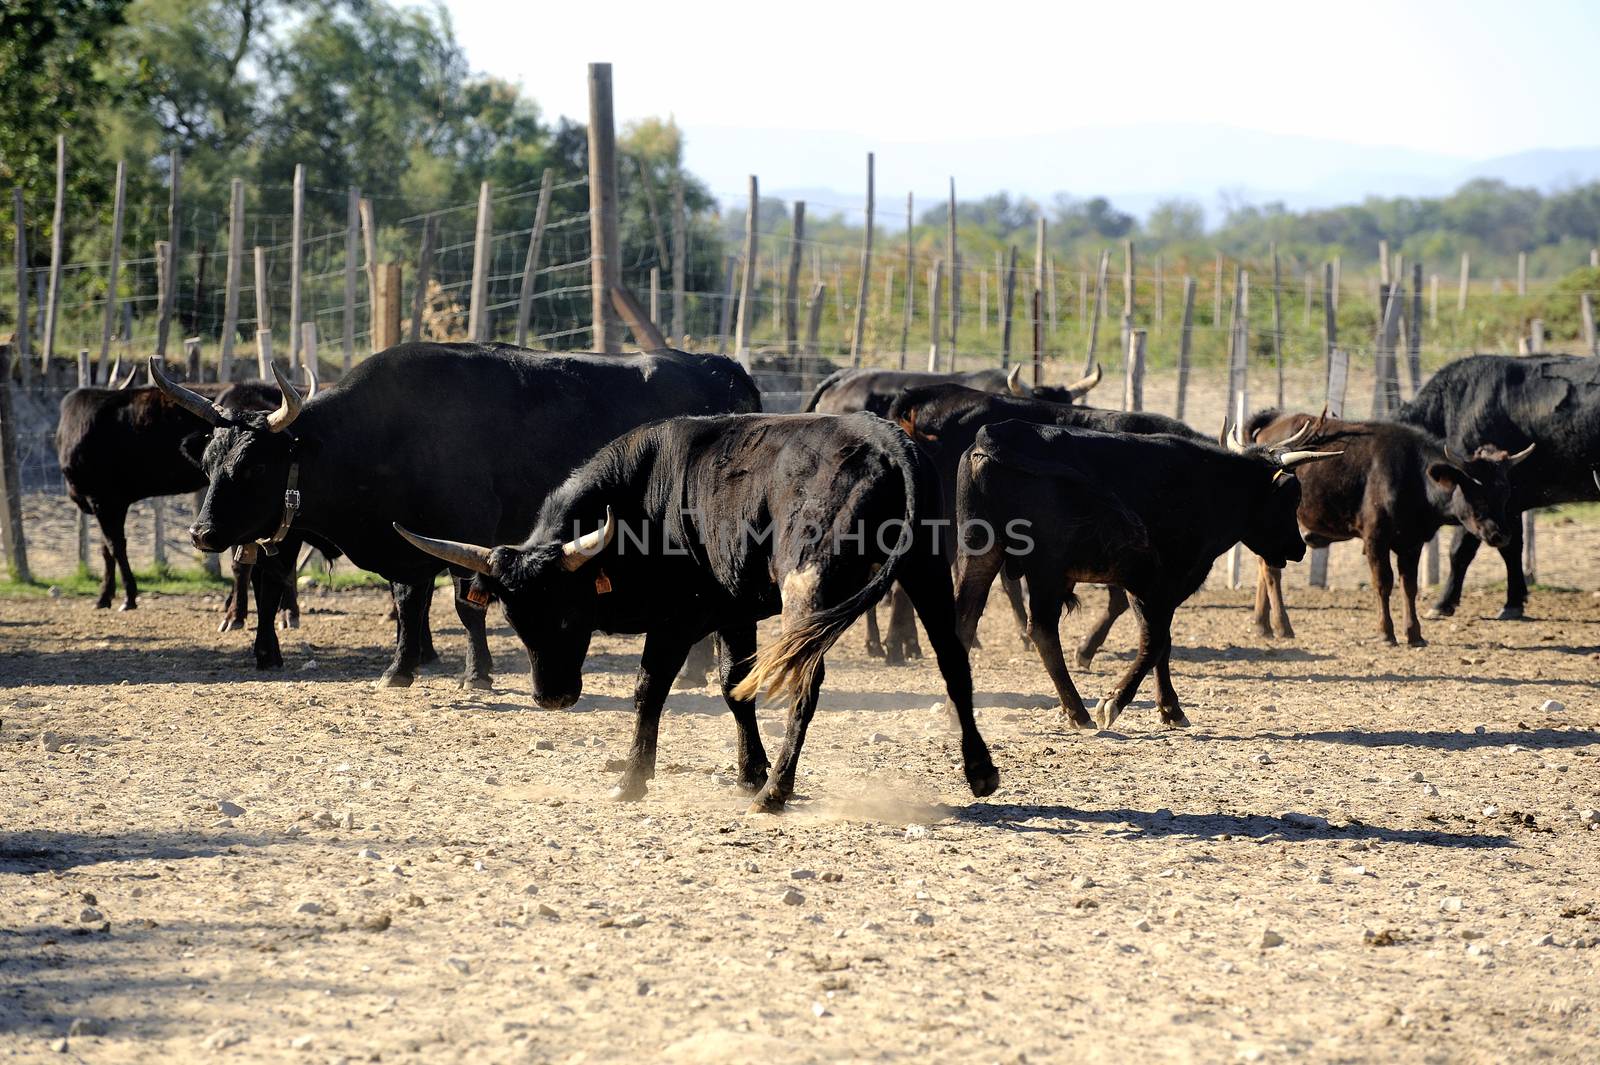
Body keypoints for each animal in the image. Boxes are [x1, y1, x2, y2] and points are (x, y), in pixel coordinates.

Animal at [147, 343, 758, 684]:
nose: (201, 533)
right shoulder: (411, 543)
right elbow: (407, 601)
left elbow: (466, 607)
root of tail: (721, 367)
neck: (384, 433)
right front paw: (400, 669)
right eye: (209, 463)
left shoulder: (470, 532)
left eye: (252, 466)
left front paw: (476, 674)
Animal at [396, 409, 998, 809]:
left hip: (808, 588)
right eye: (515, 621)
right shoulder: (735, 613)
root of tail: (886, 441)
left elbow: (650, 688)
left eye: (569, 613)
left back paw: (776, 792)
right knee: (953, 662)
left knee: (806, 682)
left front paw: (633, 779)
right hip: (925, 571)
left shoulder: (677, 620)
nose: (552, 698)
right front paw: (747, 770)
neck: (644, 501)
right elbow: (735, 687)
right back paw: (980, 772)